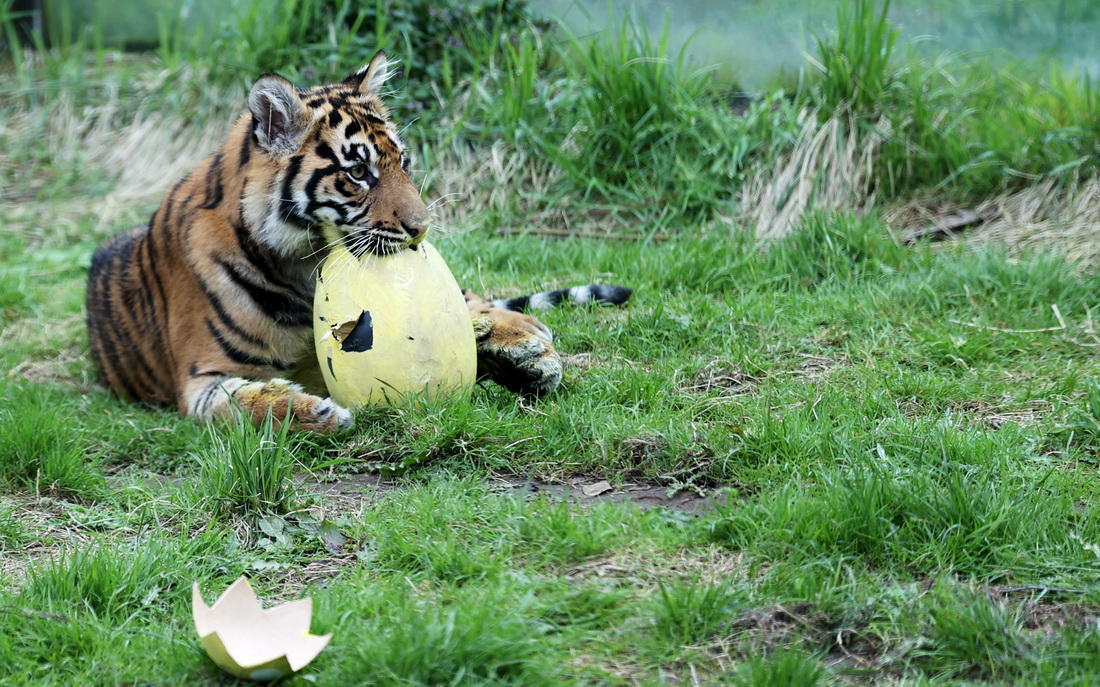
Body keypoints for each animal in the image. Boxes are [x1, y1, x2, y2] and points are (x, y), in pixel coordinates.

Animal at [85, 52, 633, 433]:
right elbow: (242, 403)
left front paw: (517, 357)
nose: (422, 228)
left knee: (482, 305)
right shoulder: (201, 377)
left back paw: (526, 343)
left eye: (403, 162)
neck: (301, 269)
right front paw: (310, 411)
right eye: (357, 172)